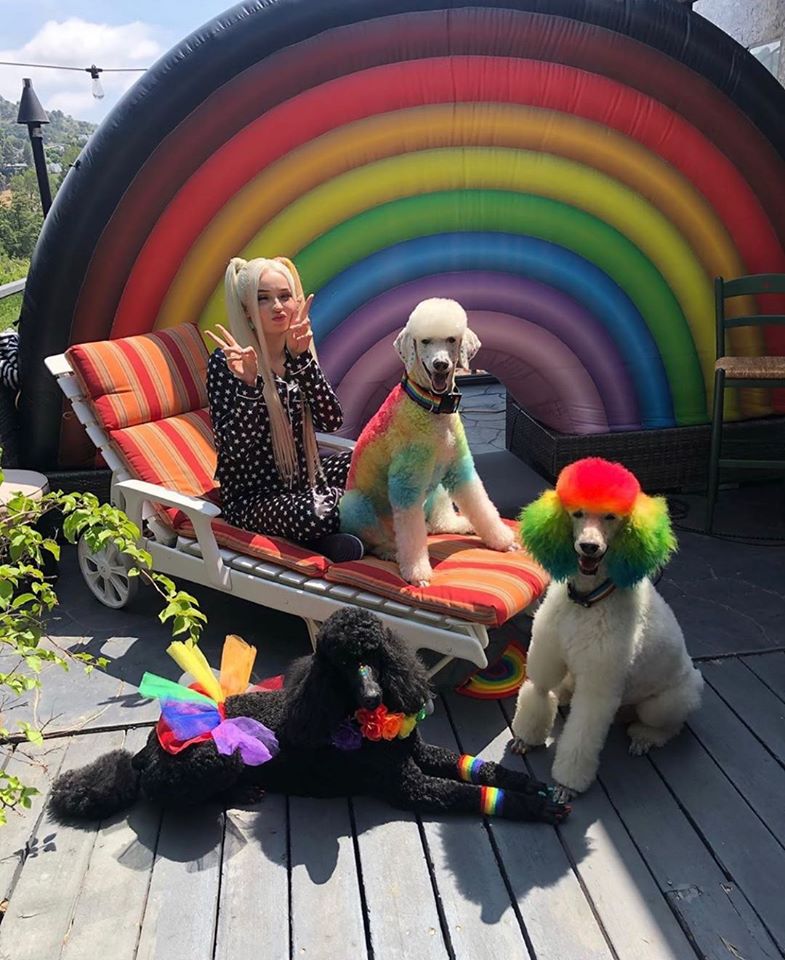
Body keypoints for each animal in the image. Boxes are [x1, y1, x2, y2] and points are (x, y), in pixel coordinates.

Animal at [50, 609, 569, 825]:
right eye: (338, 663)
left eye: (375, 654)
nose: (372, 695)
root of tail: (145, 750)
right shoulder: (408, 785)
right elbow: (465, 793)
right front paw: (532, 807)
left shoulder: (417, 752)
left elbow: (480, 768)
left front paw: (532, 784)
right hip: (217, 757)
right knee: (180, 798)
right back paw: (242, 792)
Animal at [340, 298, 517, 585]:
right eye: (424, 341)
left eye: (451, 339)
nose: (441, 364)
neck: (431, 409)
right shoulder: (406, 485)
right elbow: (412, 537)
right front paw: (417, 572)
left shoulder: (460, 469)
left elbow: (480, 504)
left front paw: (502, 539)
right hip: (353, 504)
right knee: (380, 540)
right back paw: (390, 550)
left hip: (438, 489)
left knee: (438, 524)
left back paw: (459, 525)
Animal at [509, 458, 703, 803]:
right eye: (577, 513)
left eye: (611, 517)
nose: (589, 547)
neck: (587, 600)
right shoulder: (548, 656)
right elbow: (540, 692)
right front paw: (526, 739)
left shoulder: (598, 688)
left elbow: (582, 734)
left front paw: (567, 785)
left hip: (666, 702)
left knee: (671, 726)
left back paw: (644, 737)